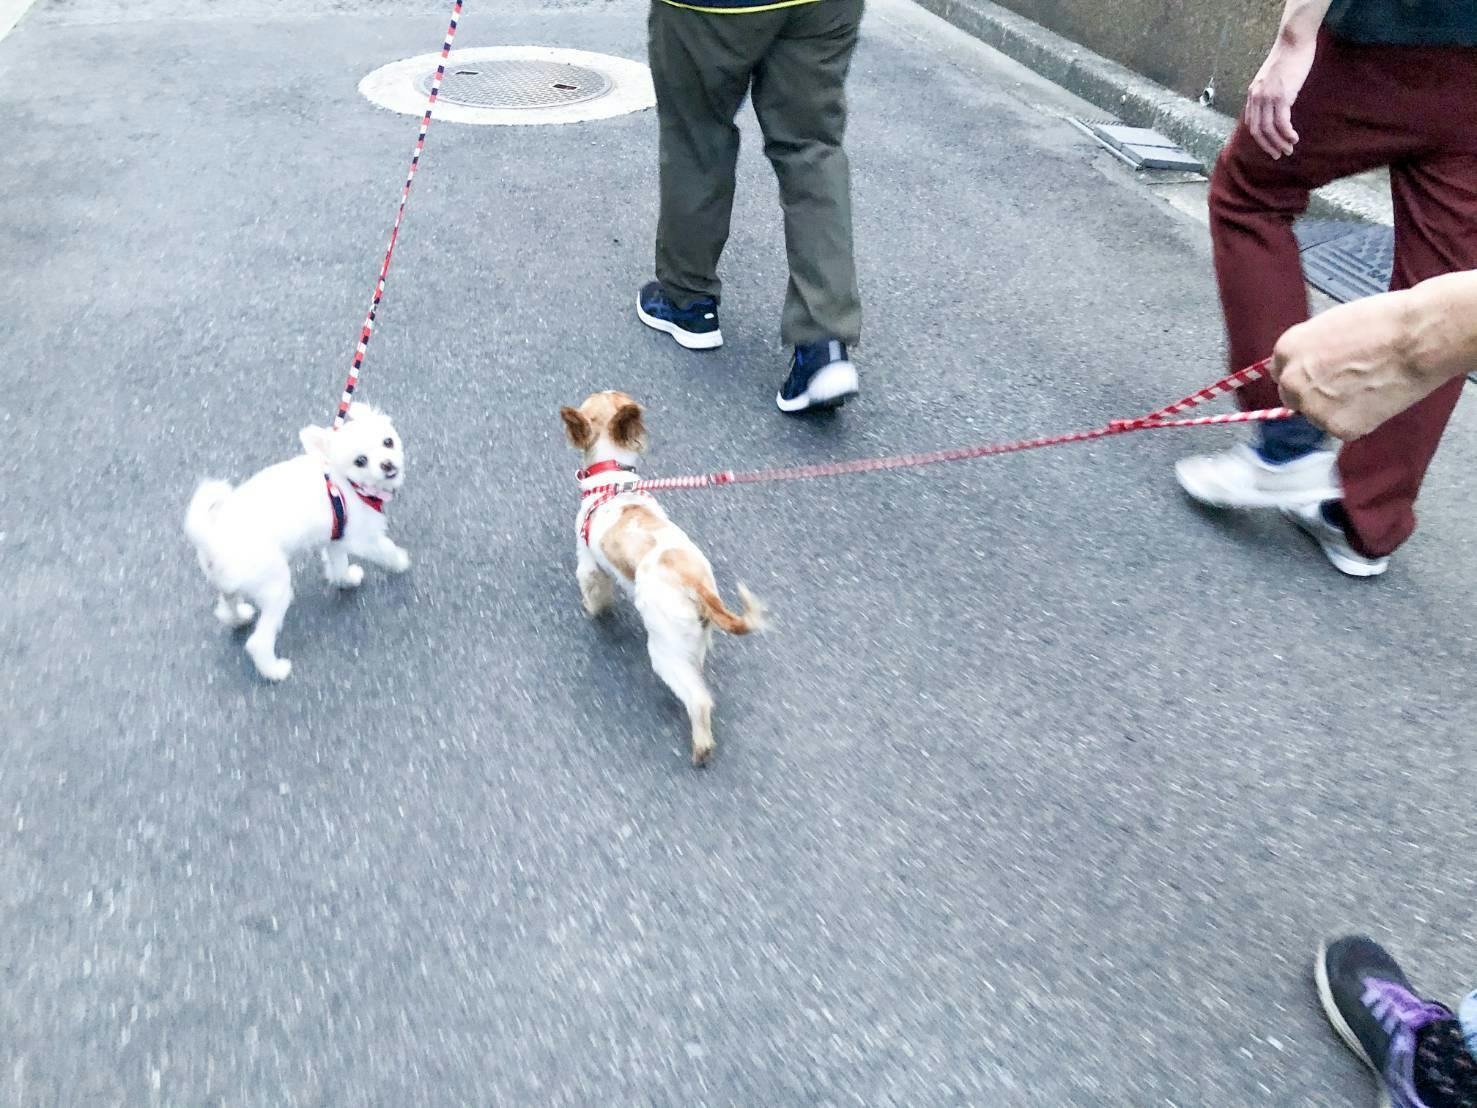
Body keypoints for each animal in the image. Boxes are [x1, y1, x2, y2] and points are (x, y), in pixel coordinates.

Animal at [184, 403, 410, 681]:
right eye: (361, 461)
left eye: (388, 442)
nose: (388, 464)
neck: (343, 482)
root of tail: (212, 538)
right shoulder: (361, 538)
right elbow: (385, 549)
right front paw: (400, 562)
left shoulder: (336, 538)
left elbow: (338, 566)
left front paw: (345, 580)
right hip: (276, 587)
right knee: (258, 642)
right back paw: (274, 671)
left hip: (231, 585)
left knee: (226, 609)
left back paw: (239, 618)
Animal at [561, 391, 766, 765]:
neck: (612, 481)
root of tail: (694, 583)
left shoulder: (589, 564)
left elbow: (593, 590)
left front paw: (592, 610)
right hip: (692, 636)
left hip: (663, 647)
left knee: (698, 699)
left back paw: (701, 746)